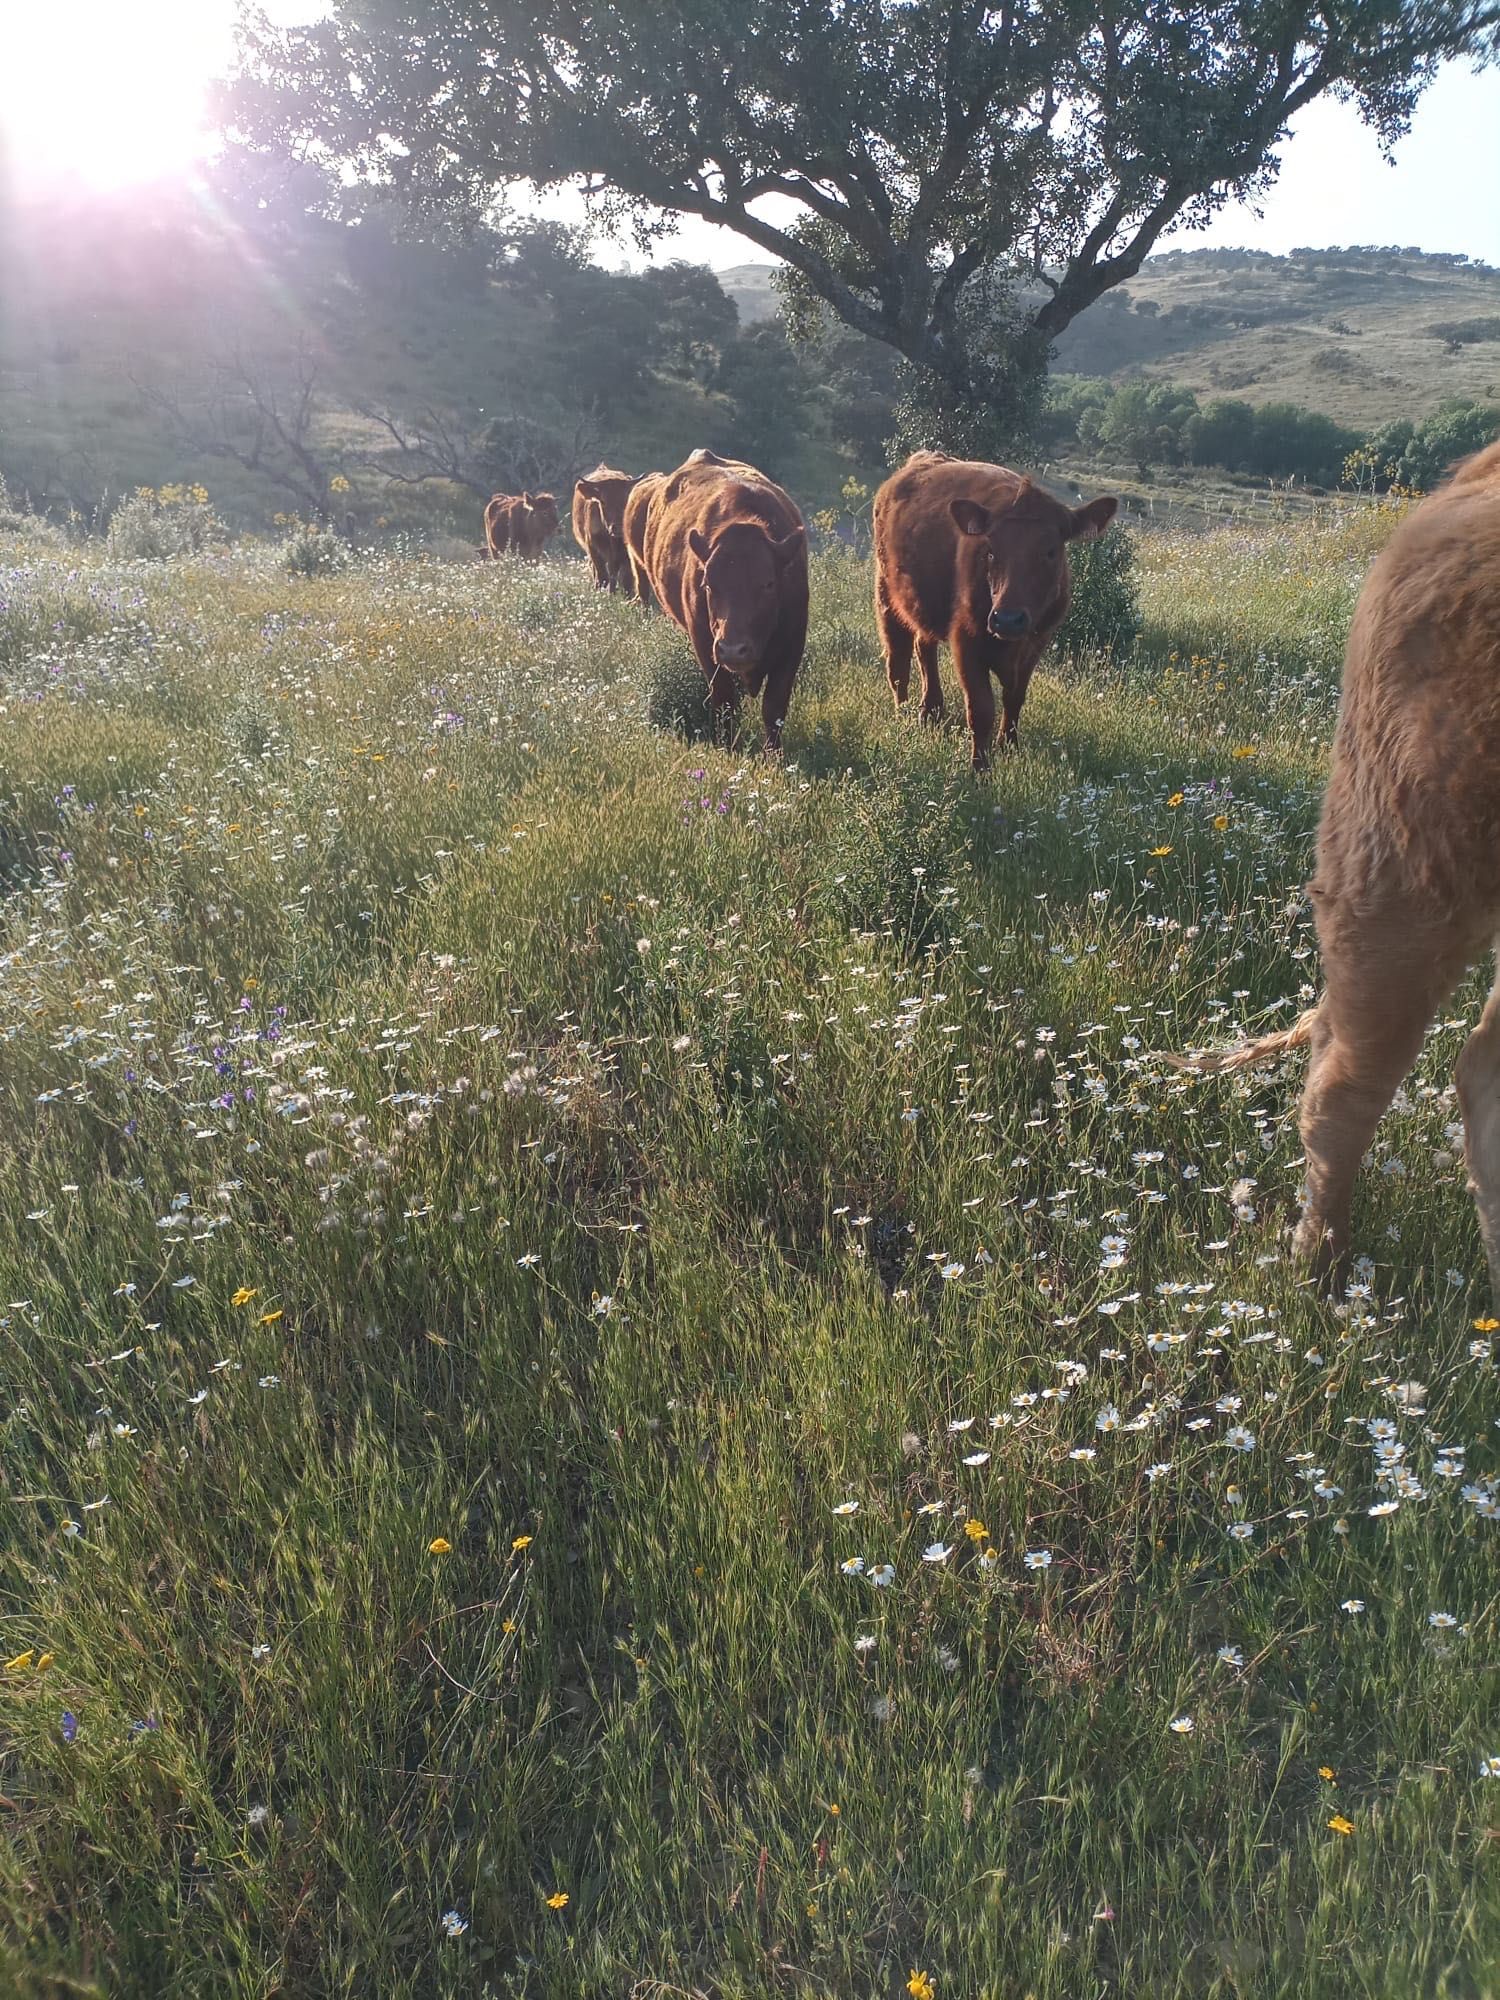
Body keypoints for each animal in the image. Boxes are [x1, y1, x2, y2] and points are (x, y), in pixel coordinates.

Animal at [868, 452, 1120, 764]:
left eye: (1051, 551)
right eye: (990, 551)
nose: (1008, 620)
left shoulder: (1037, 641)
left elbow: (1015, 697)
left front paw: (1008, 746)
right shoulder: (965, 639)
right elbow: (981, 708)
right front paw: (980, 767)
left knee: (924, 648)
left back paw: (931, 711)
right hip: (886, 596)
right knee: (898, 664)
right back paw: (903, 716)